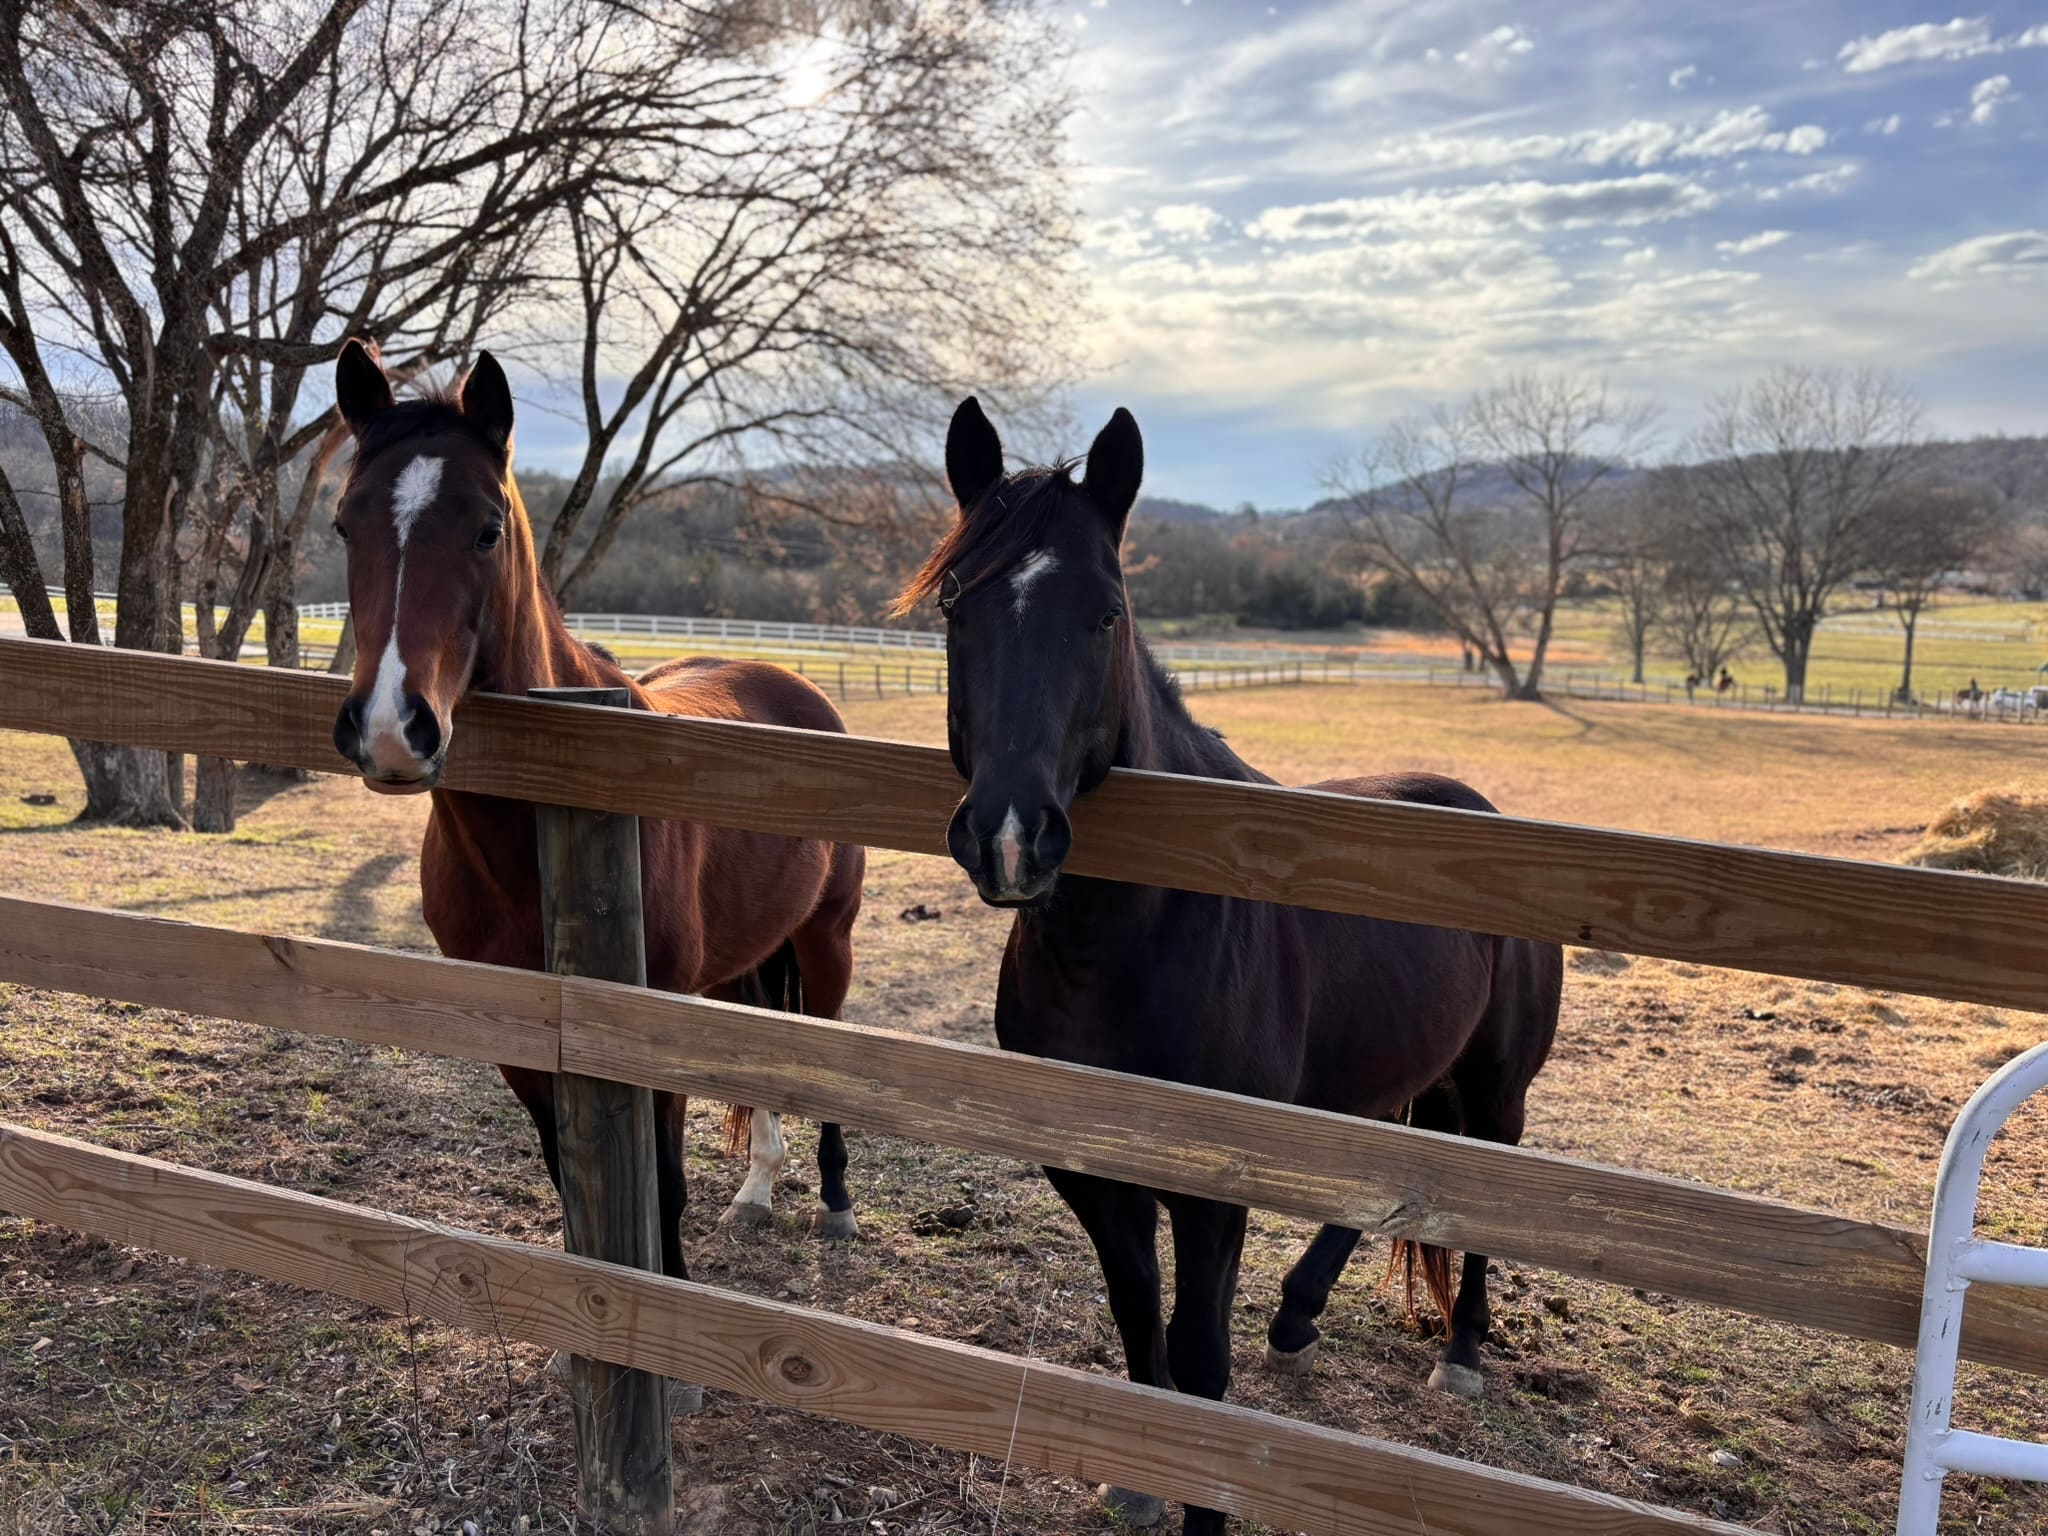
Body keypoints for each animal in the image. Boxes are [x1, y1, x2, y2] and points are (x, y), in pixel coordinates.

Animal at [326, 340, 867, 1279]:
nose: (392, 728)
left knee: (821, 1053)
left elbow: (663, 1191)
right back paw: (757, 1192)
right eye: (345, 526)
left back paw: (832, 1203)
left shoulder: (649, 1032)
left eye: (487, 530)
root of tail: (791, 685)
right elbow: (567, 1173)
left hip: (825, 936)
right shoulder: (522, 1038)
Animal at [898, 399, 1563, 1536]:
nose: (1011, 836)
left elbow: (1201, 1359)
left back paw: (1464, 1355)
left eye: (1106, 613)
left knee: (1477, 1204)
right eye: (954, 608)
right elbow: (1138, 1321)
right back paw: (1297, 1318)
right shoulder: (1092, 1167)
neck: (1128, 943)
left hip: (1493, 1086)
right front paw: (1135, 1471)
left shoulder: (1214, 1188)